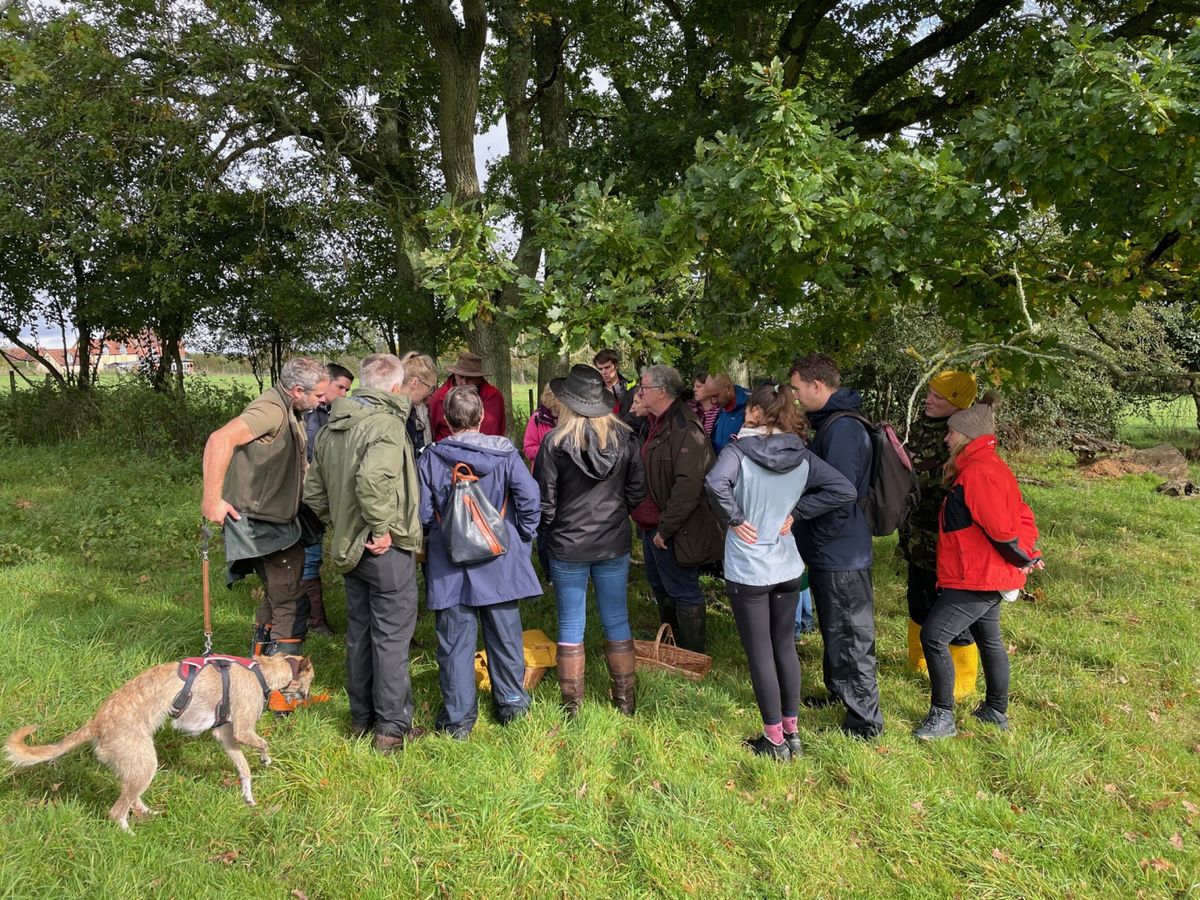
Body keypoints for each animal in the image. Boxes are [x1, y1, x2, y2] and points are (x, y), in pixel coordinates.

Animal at [5, 652, 314, 830]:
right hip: (145, 763)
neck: (261, 670)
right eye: (311, 677)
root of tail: (97, 723)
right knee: (117, 811)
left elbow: (244, 770)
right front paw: (266, 758)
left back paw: (146, 812)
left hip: (138, 767)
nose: (309, 698)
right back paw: (128, 835)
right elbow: (263, 744)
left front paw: (248, 797)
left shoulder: (225, 735)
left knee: (132, 799)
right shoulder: (243, 731)